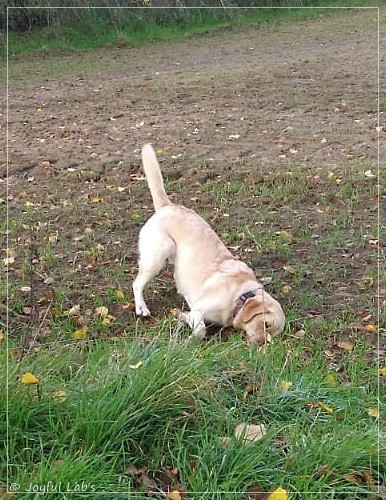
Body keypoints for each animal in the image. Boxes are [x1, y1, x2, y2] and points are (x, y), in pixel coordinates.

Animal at [134, 143, 284, 342]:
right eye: (265, 324)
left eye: (272, 336)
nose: (260, 344)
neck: (240, 295)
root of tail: (168, 206)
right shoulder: (199, 309)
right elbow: (200, 330)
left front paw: (183, 318)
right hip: (159, 253)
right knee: (137, 283)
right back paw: (141, 307)